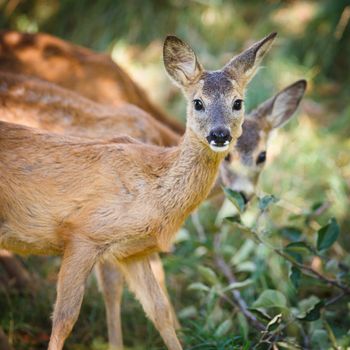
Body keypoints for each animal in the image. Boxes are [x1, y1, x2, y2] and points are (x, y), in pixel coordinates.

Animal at [0, 33, 276, 350]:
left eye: (237, 102)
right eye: (198, 103)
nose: (220, 134)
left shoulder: (132, 251)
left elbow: (159, 311)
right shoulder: (84, 234)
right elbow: (66, 318)